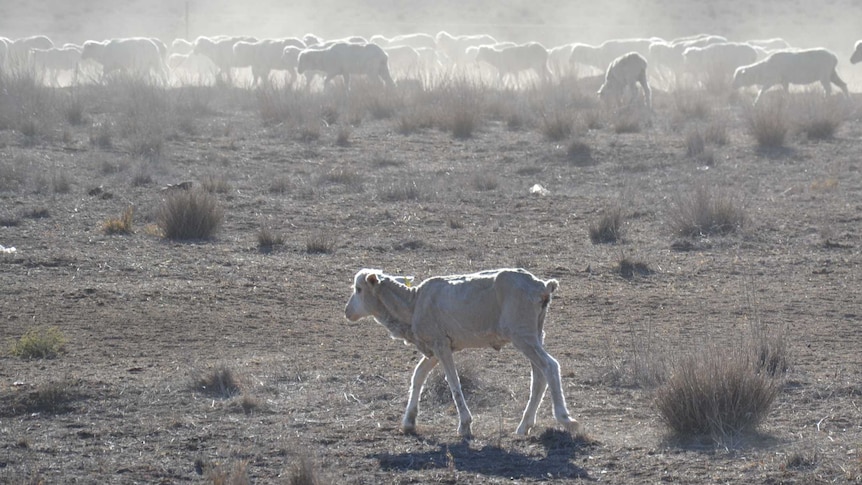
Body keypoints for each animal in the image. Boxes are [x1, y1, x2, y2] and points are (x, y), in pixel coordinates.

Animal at [346, 266, 580, 436]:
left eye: (358, 289)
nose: (347, 312)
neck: (412, 304)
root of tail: (543, 286)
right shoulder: (436, 347)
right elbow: (418, 375)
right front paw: (409, 421)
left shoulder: (440, 344)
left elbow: (453, 381)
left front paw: (465, 424)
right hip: (536, 333)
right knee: (539, 376)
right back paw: (524, 426)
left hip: (522, 334)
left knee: (549, 366)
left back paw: (565, 419)